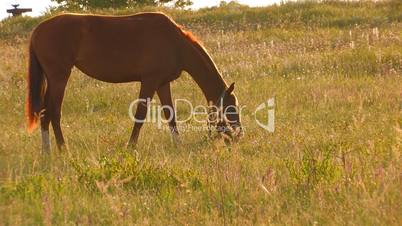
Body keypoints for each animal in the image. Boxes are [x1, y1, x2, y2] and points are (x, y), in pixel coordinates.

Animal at [27, 11, 242, 152]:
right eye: (231, 108)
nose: (238, 136)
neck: (175, 43)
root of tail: (38, 29)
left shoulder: (162, 83)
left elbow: (170, 115)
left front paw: (178, 145)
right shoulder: (149, 81)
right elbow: (140, 114)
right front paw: (130, 146)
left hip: (53, 79)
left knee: (46, 113)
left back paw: (48, 151)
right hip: (59, 78)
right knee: (53, 113)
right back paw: (62, 150)